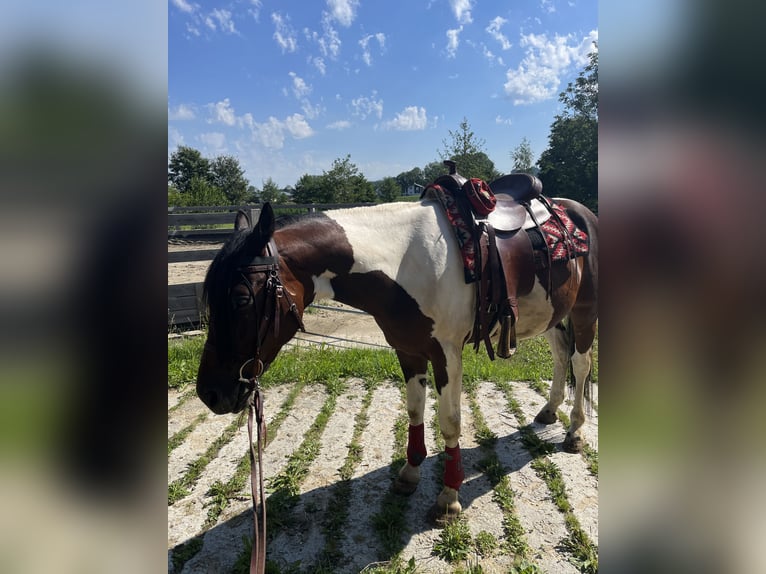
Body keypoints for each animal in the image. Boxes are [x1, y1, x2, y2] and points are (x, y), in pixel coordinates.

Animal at [196, 197, 600, 520]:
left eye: (241, 299)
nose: (210, 394)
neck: (405, 262)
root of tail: (582, 212)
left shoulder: (447, 355)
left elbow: (449, 422)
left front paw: (448, 498)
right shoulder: (408, 350)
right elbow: (414, 410)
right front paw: (409, 473)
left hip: (583, 311)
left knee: (581, 364)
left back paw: (575, 431)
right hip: (553, 314)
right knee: (561, 355)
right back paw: (549, 410)